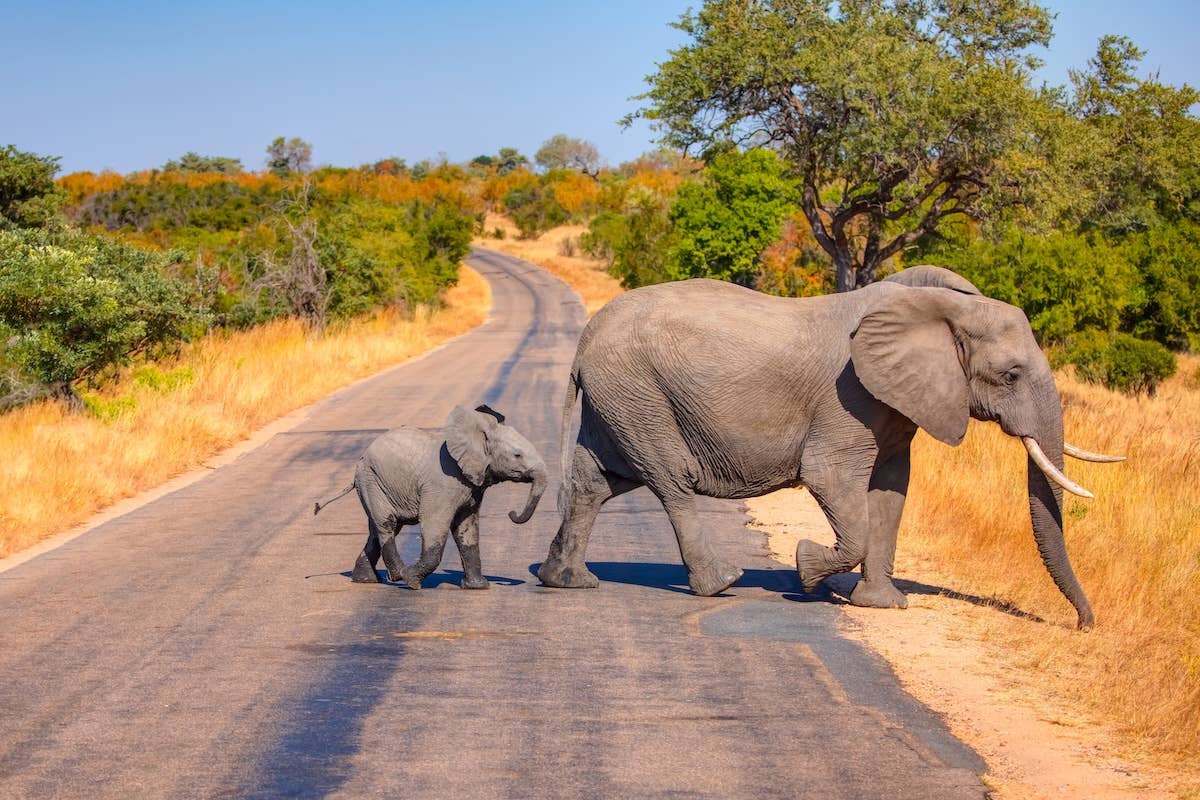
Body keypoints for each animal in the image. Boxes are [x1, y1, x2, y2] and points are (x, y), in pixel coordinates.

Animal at [315, 404, 548, 589]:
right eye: (517, 455)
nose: (512, 513)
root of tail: (360, 460)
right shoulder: (442, 485)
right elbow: (434, 524)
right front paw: (412, 581)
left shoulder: (471, 487)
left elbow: (467, 528)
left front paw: (478, 587)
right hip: (371, 480)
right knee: (386, 525)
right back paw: (398, 575)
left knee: (377, 529)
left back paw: (365, 579)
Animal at [536, 266, 1121, 629]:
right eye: (1010, 374)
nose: (1083, 625)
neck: (936, 309)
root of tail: (584, 342)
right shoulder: (850, 398)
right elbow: (830, 479)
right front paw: (806, 568)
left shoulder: (893, 404)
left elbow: (891, 492)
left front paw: (883, 605)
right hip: (640, 395)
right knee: (672, 480)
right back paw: (722, 583)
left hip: (620, 400)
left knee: (595, 482)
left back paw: (566, 582)